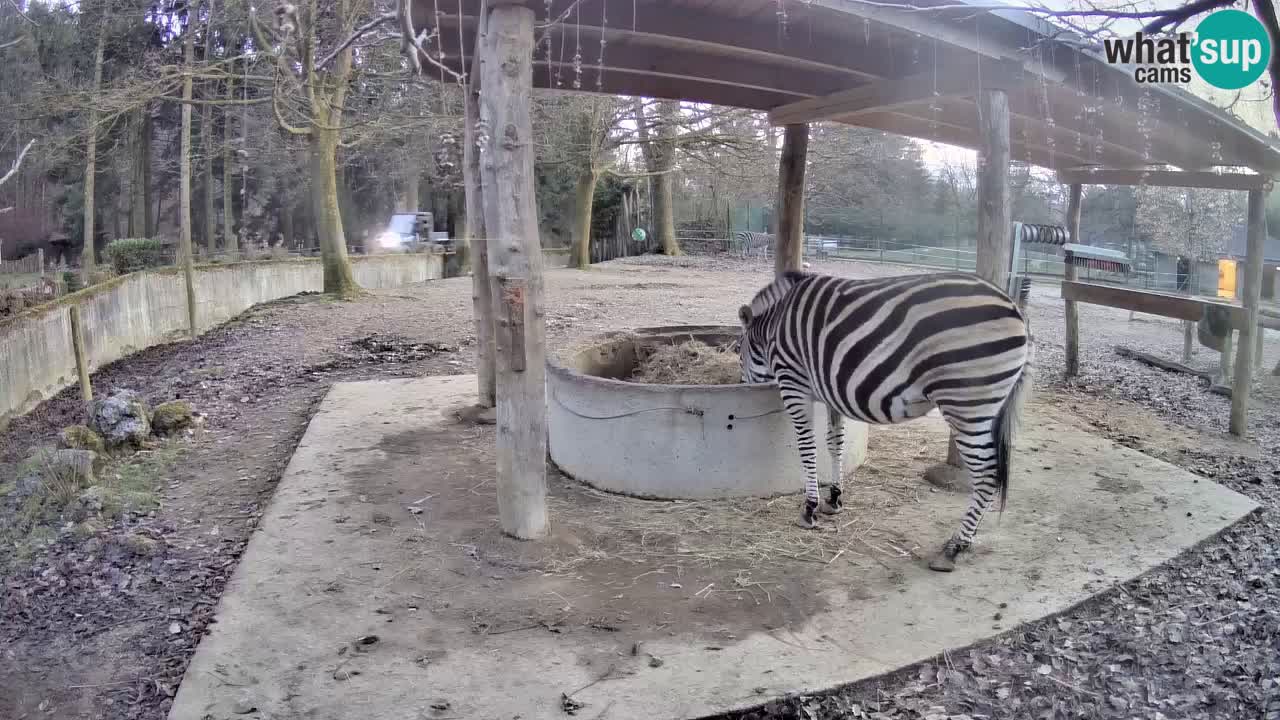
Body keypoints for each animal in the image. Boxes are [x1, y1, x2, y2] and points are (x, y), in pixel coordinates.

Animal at [742, 269, 1029, 571]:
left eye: (739, 351)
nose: (744, 384)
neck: (773, 325)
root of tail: (1015, 308)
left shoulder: (792, 380)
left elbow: (807, 448)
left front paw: (809, 508)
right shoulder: (831, 392)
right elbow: (835, 444)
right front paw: (834, 498)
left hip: (966, 404)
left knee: (987, 474)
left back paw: (954, 547)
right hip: (984, 407)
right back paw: (966, 541)